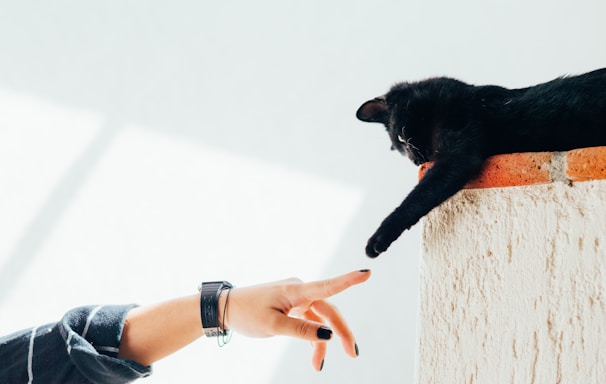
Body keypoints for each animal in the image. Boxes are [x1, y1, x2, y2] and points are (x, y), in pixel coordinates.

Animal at [356, 68, 606, 258]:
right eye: (399, 148)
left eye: (402, 137)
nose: (416, 160)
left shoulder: (459, 155)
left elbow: (417, 198)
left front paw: (378, 238)